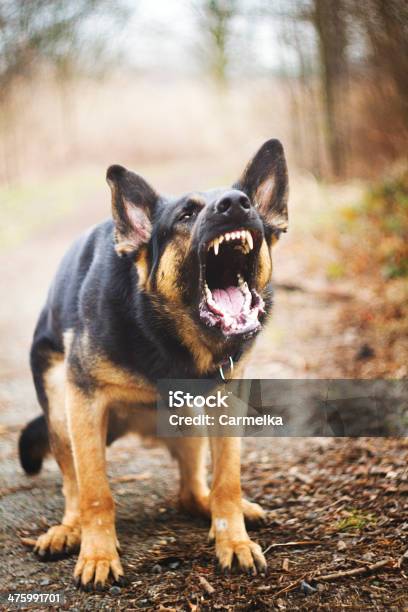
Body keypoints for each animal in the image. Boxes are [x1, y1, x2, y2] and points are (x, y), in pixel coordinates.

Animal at [18, 139, 286, 588]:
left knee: (191, 492)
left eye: (244, 201)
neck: (166, 334)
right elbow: (95, 493)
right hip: (59, 409)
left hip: (191, 418)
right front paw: (98, 555)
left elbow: (227, 480)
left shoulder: (227, 399)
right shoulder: (84, 402)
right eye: (186, 215)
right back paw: (69, 530)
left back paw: (212, 508)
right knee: (73, 487)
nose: (235, 204)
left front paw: (233, 541)